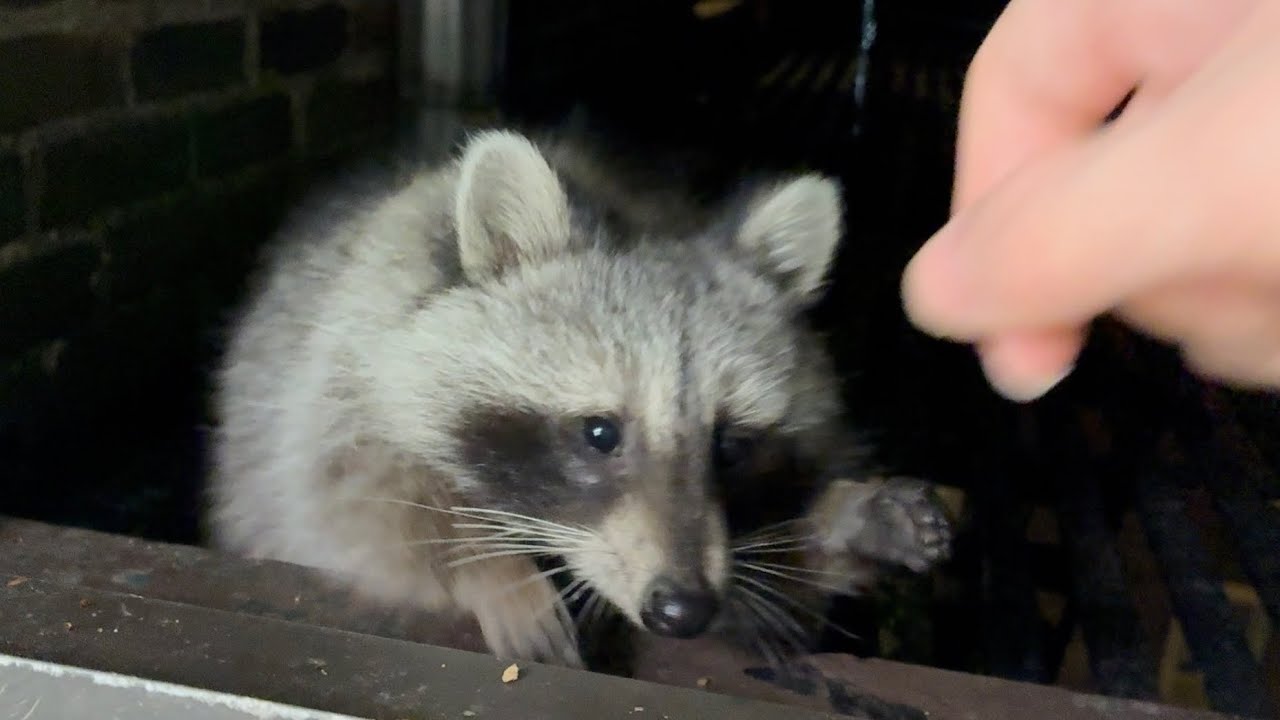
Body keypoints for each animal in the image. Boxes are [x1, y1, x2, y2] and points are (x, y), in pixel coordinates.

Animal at [206, 129, 951, 670]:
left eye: (732, 445)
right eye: (600, 433)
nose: (682, 609)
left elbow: (772, 598)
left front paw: (838, 520)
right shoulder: (337, 370)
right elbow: (351, 506)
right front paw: (488, 564)